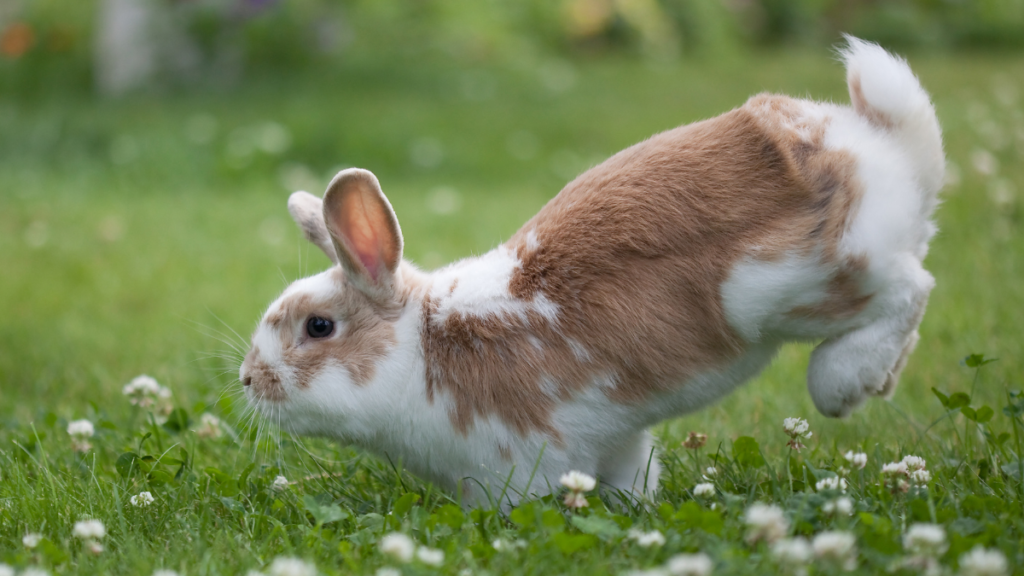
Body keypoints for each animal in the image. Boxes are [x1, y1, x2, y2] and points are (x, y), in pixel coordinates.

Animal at [240, 37, 944, 507]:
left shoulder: (516, 464)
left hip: (798, 286)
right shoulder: (616, 440)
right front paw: (637, 511)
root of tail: (882, 146)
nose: (248, 379)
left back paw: (843, 383)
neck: (423, 345)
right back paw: (878, 380)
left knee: (911, 289)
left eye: (319, 327)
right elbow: (633, 476)